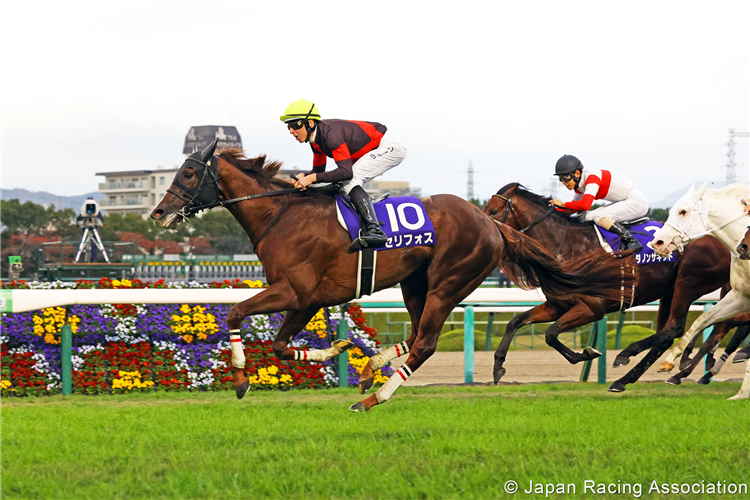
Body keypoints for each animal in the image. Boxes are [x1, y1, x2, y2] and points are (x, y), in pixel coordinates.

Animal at [153, 140, 636, 410]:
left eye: (190, 172)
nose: (159, 213)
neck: (281, 213)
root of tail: (489, 221)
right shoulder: (308, 297)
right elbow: (280, 346)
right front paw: (341, 348)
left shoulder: (293, 290)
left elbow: (237, 315)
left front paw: (238, 379)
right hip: (414, 282)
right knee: (417, 332)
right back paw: (373, 369)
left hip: (448, 282)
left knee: (425, 343)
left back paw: (372, 398)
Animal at [482, 184, 736, 390]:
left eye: (493, 211)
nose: (484, 230)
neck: (568, 247)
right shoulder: (557, 305)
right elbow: (517, 322)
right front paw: (498, 367)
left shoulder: (592, 308)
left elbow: (551, 334)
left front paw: (587, 353)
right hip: (669, 291)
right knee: (666, 334)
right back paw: (624, 380)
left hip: (688, 283)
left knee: (673, 329)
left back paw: (627, 356)